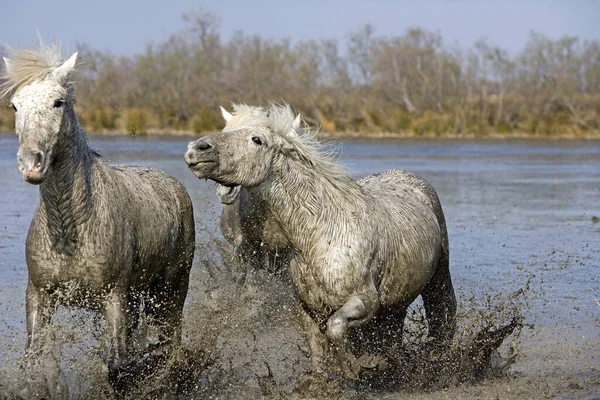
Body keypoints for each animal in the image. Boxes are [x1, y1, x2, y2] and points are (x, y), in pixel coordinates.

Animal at [1, 43, 195, 384]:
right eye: (14, 105)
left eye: (58, 102)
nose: (31, 163)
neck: (70, 230)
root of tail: (174, 185)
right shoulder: (39, 295)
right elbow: (33, 362)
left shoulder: (114, 297)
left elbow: (117, 366)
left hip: (170, 290)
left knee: (169, 342)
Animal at [185, 104, 458, 378]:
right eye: (227, 130)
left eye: (257, 140)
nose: (196, 148)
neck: (324, 238)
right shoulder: (310, 310)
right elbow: (318, 352)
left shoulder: (365, 302)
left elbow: (335, 326)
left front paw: (357, 366)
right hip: (396, 302)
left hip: (438, 279)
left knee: (442, 314)